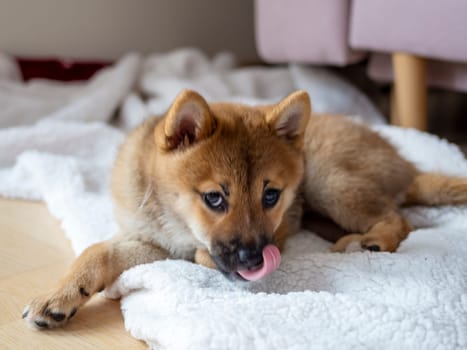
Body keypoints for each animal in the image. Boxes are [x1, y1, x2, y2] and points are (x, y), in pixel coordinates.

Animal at [23, 89, 467, 328]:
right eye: (214, 198)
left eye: (271, 196)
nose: (254, 260)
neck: (175, 222)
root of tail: (407, 166)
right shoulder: (149, 241)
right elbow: (96, 252)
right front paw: (60, 295)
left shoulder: (275, 231)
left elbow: (204, 255)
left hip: (329, 180)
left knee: (398, 217)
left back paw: (371, 241)